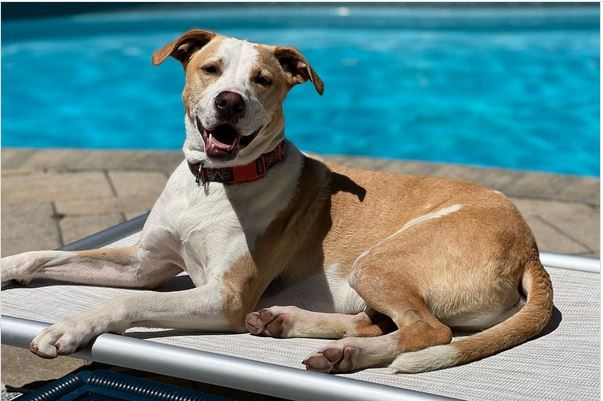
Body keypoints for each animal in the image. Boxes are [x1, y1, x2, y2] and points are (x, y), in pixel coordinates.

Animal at [2, 29, 556, 374]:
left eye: (262, 80)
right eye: (210, 69)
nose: (229, 101)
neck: (215, 183)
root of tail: (530, 250)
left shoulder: (224, 298)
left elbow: (128, 301)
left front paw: (69, 328)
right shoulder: (144, 263)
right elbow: (45, 256)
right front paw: (9, 267)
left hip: (379, 261)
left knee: (429, 331)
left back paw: (348, 355)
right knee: (380, 319)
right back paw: (289, 323)